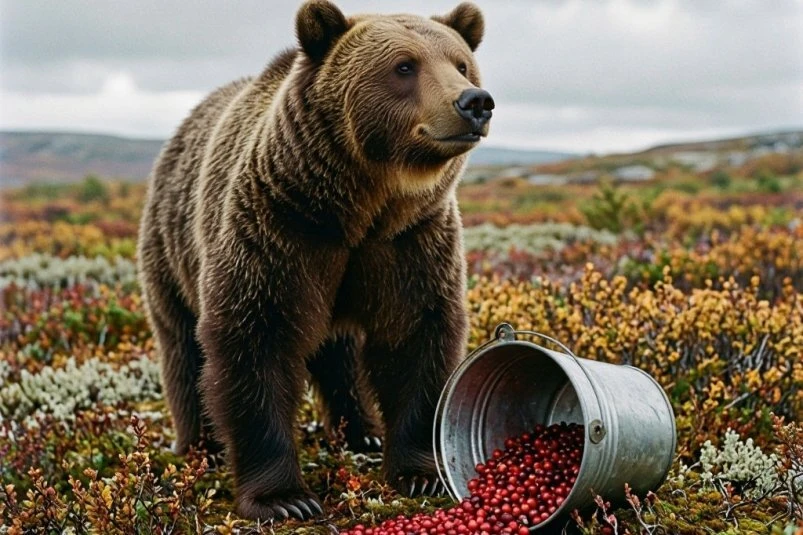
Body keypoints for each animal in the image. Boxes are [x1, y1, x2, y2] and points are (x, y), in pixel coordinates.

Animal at [137, 0, 493, 521]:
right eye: (404, 66)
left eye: (461, 63)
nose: (474, 102)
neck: (361, 208)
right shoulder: (280, 230)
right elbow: (255, 341)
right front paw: (284, 499)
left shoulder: (411, 241)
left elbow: (416, 336)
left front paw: (420, 472)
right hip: (171, 246)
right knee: (182, 345)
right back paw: (202, 446)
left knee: (338, 352)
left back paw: (362, 432)